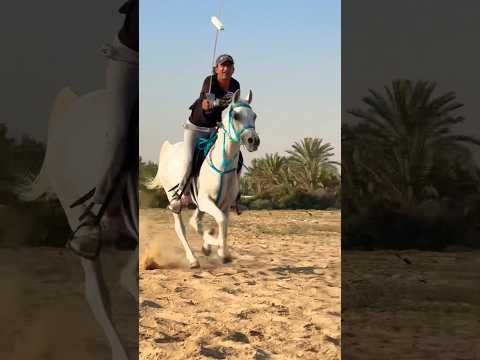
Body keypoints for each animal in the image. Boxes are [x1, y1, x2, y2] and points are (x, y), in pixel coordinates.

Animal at [147, 88, 258, 268]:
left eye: (254, 116)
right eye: (236, 115)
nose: (253, 141)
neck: (222, 166)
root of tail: (169, 150)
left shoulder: (224, 205)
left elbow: (222, 223)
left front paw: (215, 248)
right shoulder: (206, 201)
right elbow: (221, 221)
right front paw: (222, 251)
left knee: (195, 222)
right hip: (174, 199)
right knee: (181, 228)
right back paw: (193, 259)